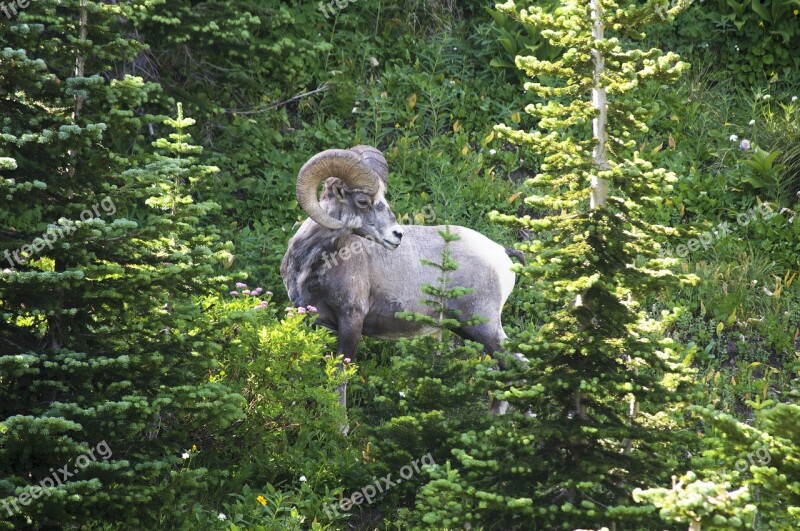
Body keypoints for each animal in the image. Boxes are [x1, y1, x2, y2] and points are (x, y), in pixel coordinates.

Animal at [280, 144, 520, 420]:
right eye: (363, 201)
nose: (397, 235)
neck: (313, 265)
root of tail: (502, 253)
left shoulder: (351, 320)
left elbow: (341, 375)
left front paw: (341, 425)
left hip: (483, 325)